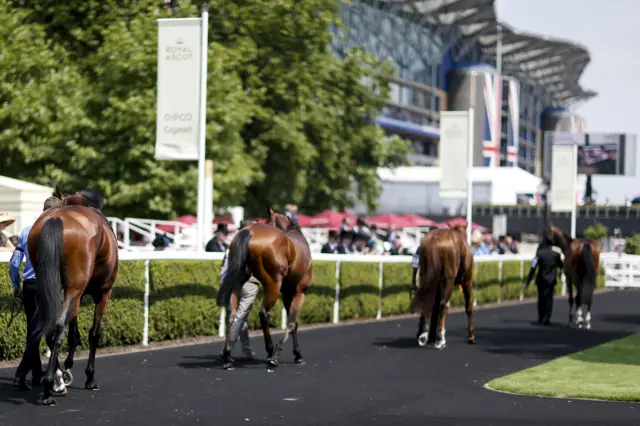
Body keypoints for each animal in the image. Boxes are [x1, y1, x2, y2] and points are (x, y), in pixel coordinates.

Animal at [26, 187, 119, 406]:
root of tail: (57, 218)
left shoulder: (75, 293)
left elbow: (74, 332)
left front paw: (66, 368)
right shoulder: (103, 293)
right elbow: (94, 333)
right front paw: (90, 377)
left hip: (51, 288)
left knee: (45, 326)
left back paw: (55, 380)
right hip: (75, 290)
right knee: (58, 326)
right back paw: (49, 388)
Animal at [216, 206, 314, 370]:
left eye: (266, 221)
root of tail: (249, 232)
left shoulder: (287, 293)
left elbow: (293, 322)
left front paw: (297, 355)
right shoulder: (299, 292)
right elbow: (292, 323)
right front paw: (284, 354)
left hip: (238, 282)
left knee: (232, 314)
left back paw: (227, 356)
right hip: (273, 284)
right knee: (263, 313)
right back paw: (270, 352)